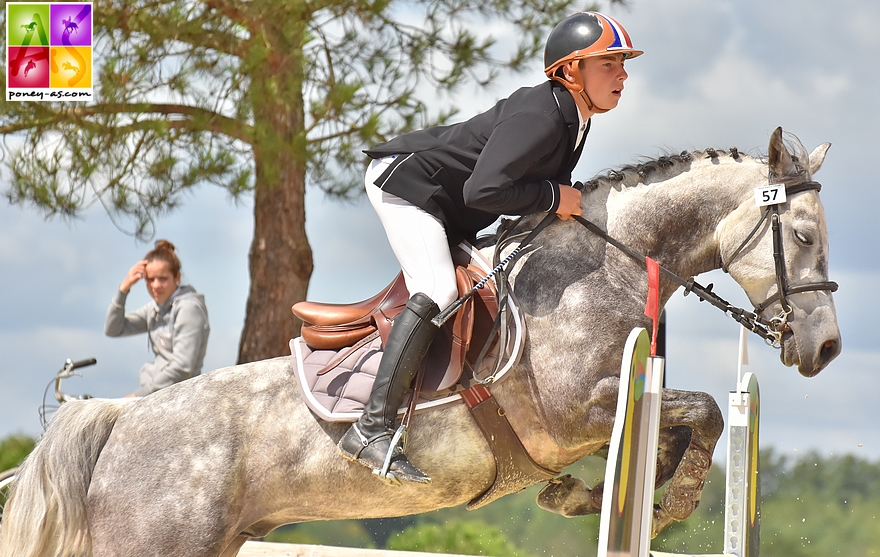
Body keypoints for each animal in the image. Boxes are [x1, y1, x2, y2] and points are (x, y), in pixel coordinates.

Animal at [0, 127, 840, 556]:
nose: (827, 349)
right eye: (802, 236)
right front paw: (660, 502)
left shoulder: (616, 406)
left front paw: (591, 496)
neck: (607, 260)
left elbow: (683, 424)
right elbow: (704, 410)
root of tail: (119, 417)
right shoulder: (571, 414)